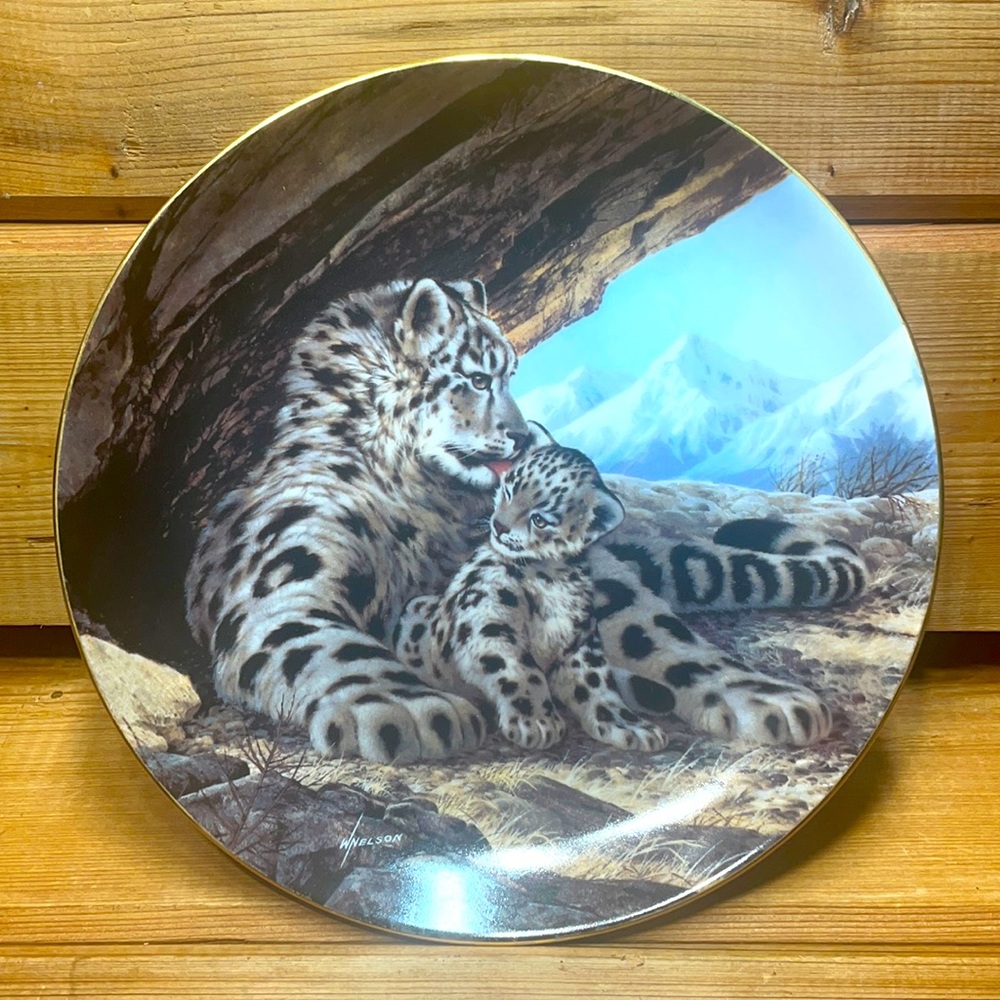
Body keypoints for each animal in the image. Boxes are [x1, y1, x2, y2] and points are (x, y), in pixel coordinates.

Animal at [396, 422, 670, 753]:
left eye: (540, 519)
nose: (499, 525)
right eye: (510, 490)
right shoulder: (487, 617)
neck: (550, 577)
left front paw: (628, 726)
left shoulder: (579, 639)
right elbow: (518, 667)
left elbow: (595, 682)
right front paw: (536, 722)